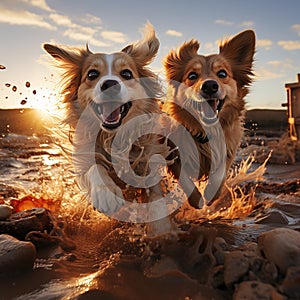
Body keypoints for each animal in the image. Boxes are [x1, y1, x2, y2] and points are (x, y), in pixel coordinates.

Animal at [43, 24, 172, 220]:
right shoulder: (84, 157)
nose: (110, 84)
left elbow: (154, 193)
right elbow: (94, 167)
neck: (112, 137)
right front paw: (106, 192)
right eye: (92, 74)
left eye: (126, 73)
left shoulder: (148, 159)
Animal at [164, 29, 255, 209]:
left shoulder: (228, 150)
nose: (210, 85)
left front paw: (211, 193)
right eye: (192, 76)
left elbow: (220, 173)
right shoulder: (172, 153)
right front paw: (197, 200)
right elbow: (185, 179)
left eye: (222, 74)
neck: (205, 131)